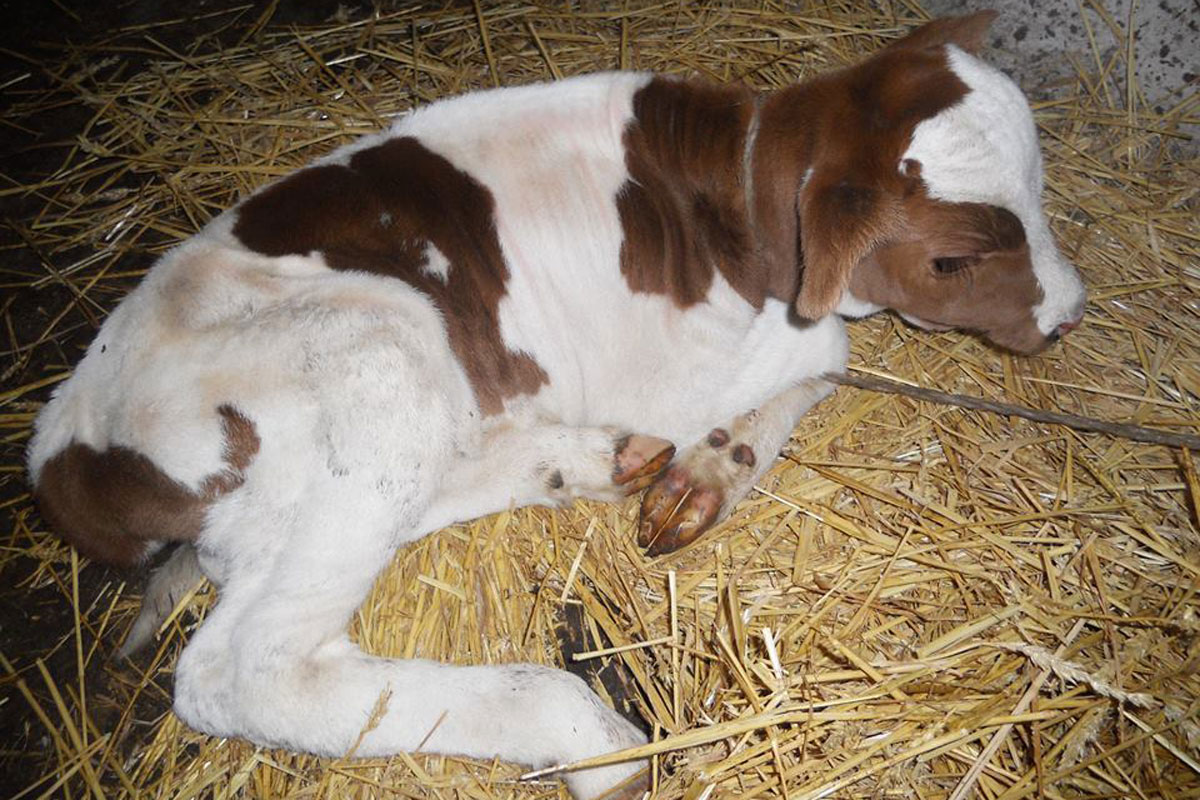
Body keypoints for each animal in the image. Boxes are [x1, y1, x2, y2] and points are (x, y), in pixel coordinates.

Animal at [28, 12, 1084, 800]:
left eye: (1041, 188)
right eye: (952, 259)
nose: (1069, 313)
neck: (723, 208)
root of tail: (67, 450)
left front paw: (708, 470)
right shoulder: (685, 364)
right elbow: (832, 349)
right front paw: (721, 448)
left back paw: (585, 459)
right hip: (376, 351)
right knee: (248, 669)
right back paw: (583, 735)